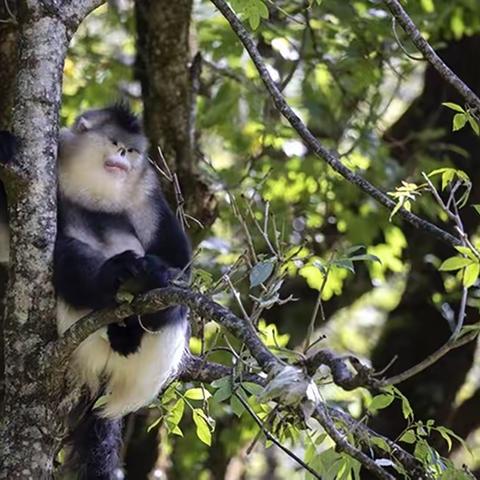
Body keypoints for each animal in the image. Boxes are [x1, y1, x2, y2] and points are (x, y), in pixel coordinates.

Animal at [0, 105, 191, 480]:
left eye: (131, 150)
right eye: (115, 143)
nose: (123, 157)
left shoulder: (147, 192)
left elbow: (179, 261)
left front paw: (158, 273)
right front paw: (6, 146)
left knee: (170, 299)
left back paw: (140, 308)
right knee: (66, 254)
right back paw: (113, 281)